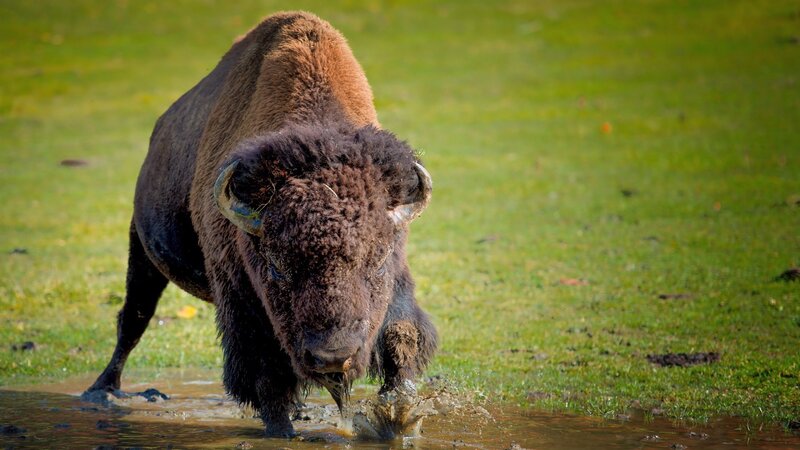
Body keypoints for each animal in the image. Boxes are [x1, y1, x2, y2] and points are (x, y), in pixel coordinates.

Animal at [84, 11, 438, 437]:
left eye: (379, 259)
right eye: (277, 266)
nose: (332, 357)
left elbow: (402, 336)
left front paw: (400, 419)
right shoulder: (240, 300)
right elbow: (265, 374)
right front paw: (282, 431)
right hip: (142, 251)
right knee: (133, 319)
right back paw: (101, 390)